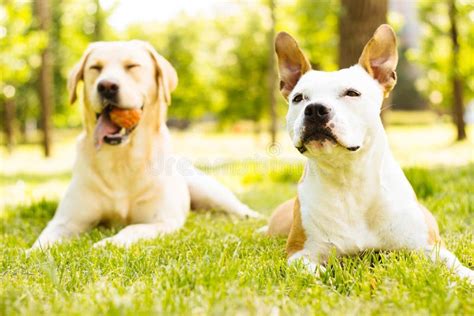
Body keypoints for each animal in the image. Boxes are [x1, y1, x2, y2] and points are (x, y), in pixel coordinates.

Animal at [30, 40, 260, 251]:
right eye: (95, 68)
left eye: (132, 66)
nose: (106, 86)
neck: (121, 159)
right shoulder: (65, 221)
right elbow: (44, 240)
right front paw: (31, 253)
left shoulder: (162, 221)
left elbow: (132, 228)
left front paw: (108, 243)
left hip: (209, 190)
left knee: (240, 209)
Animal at [264, 23, 474, 282]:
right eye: (298, 98)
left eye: (352, 93)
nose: (314, 109)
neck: (349, 179)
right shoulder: (300, 253)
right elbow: (311, 271)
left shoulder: (429, 246)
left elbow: (455, 266)